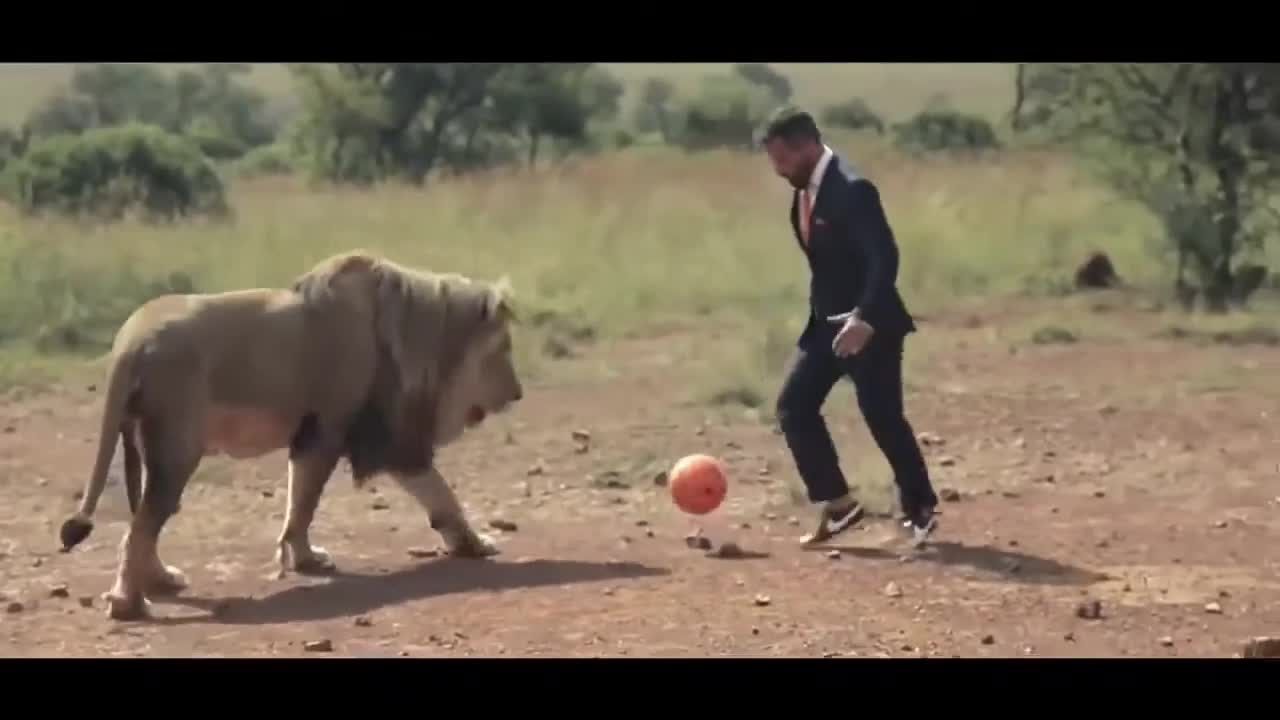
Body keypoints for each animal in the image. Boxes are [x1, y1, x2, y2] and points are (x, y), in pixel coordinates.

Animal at [60, 249, 524, 620]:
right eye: (503, 349)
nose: (518, 393)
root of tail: (129, 342)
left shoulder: (317, 432)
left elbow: (300, 499)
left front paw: (302, 558)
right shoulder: (358, 431)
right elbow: (432, 490)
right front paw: (476, 543)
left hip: (148, 443)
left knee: (144, 522)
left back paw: (159, 580)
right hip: (177, 448)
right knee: (141, 527)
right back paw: (130, 603)